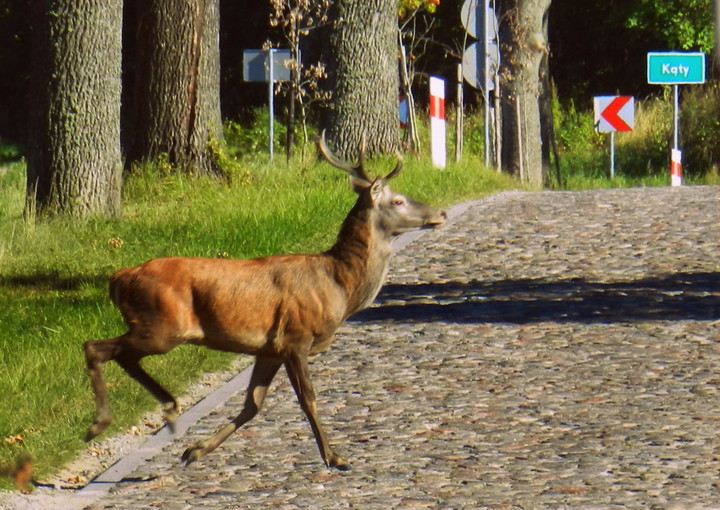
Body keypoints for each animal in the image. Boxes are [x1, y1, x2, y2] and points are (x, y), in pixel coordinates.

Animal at [83, 131, 444, 470]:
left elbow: (252, 405)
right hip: (161, 326)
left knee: (122, 356)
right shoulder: (295, 337)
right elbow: (308, 399)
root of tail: (120, 277)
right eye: (398, 201)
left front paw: (195, 450)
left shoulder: (269, 349)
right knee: (95, 347)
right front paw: (334, 457)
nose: (439, 212)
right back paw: (100, 424)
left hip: (156, 328)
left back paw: (170, 410)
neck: (340, 286)